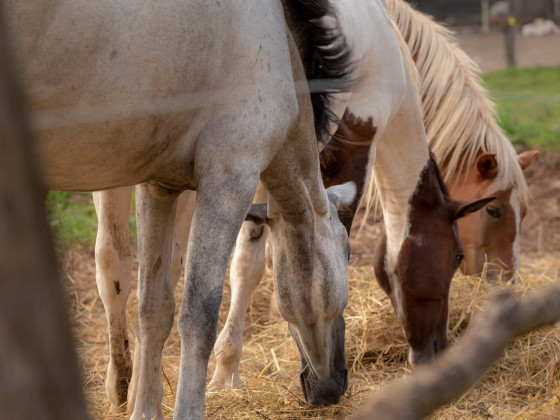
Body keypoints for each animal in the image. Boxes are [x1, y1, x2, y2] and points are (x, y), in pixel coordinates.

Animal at [6, 0, 356, 416]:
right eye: (348, 253)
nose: (334, 387)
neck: (278, 45)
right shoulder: (229, 177)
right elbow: (198, 315)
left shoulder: (158, 186)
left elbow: (153, 308)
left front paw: (143, 411)